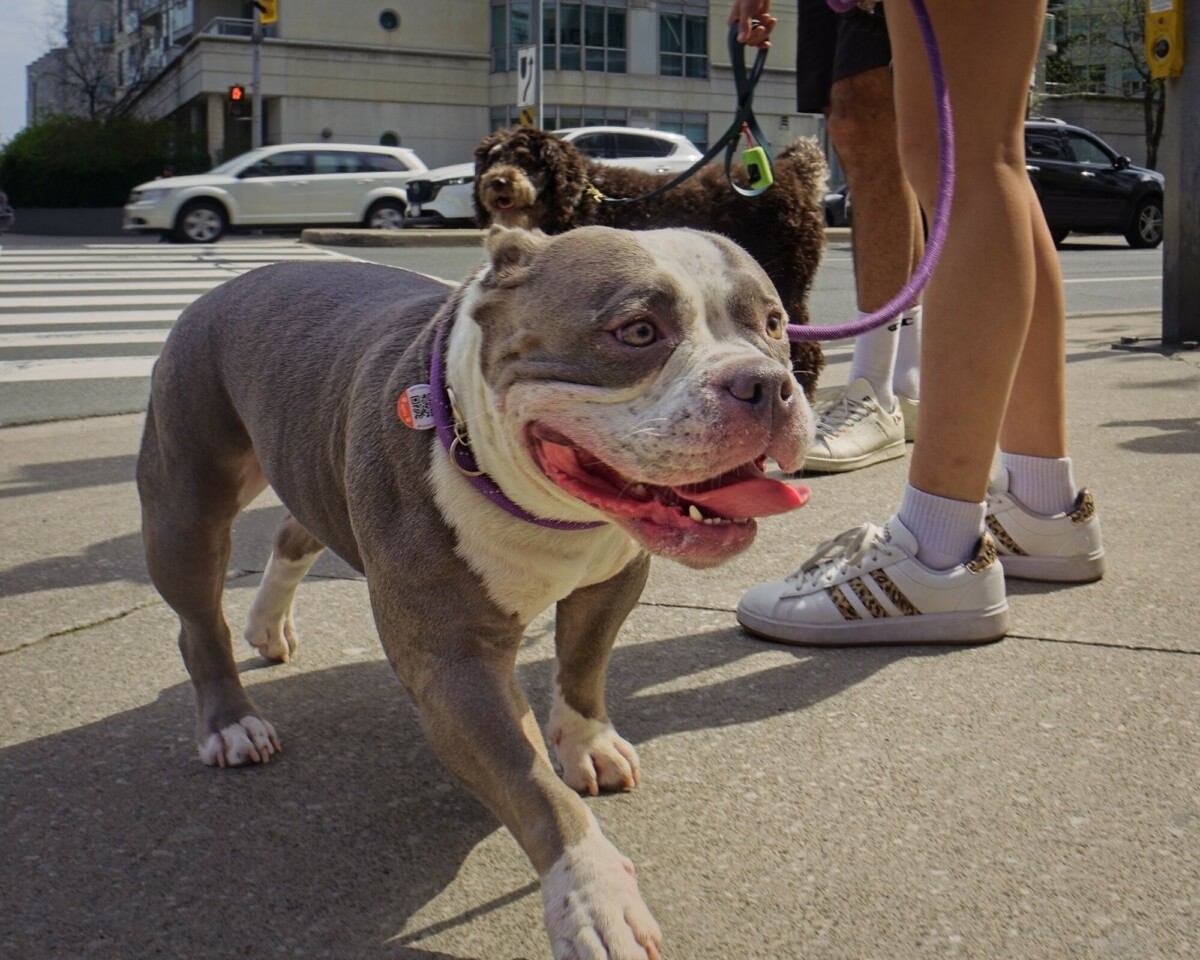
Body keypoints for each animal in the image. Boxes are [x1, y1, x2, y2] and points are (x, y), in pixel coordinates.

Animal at [472, 127, 830, 398]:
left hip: (786, 279)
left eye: (527, 160)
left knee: (806, 351)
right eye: (492, 159)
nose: (498, 181)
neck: (580, 200)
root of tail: (793, 173)